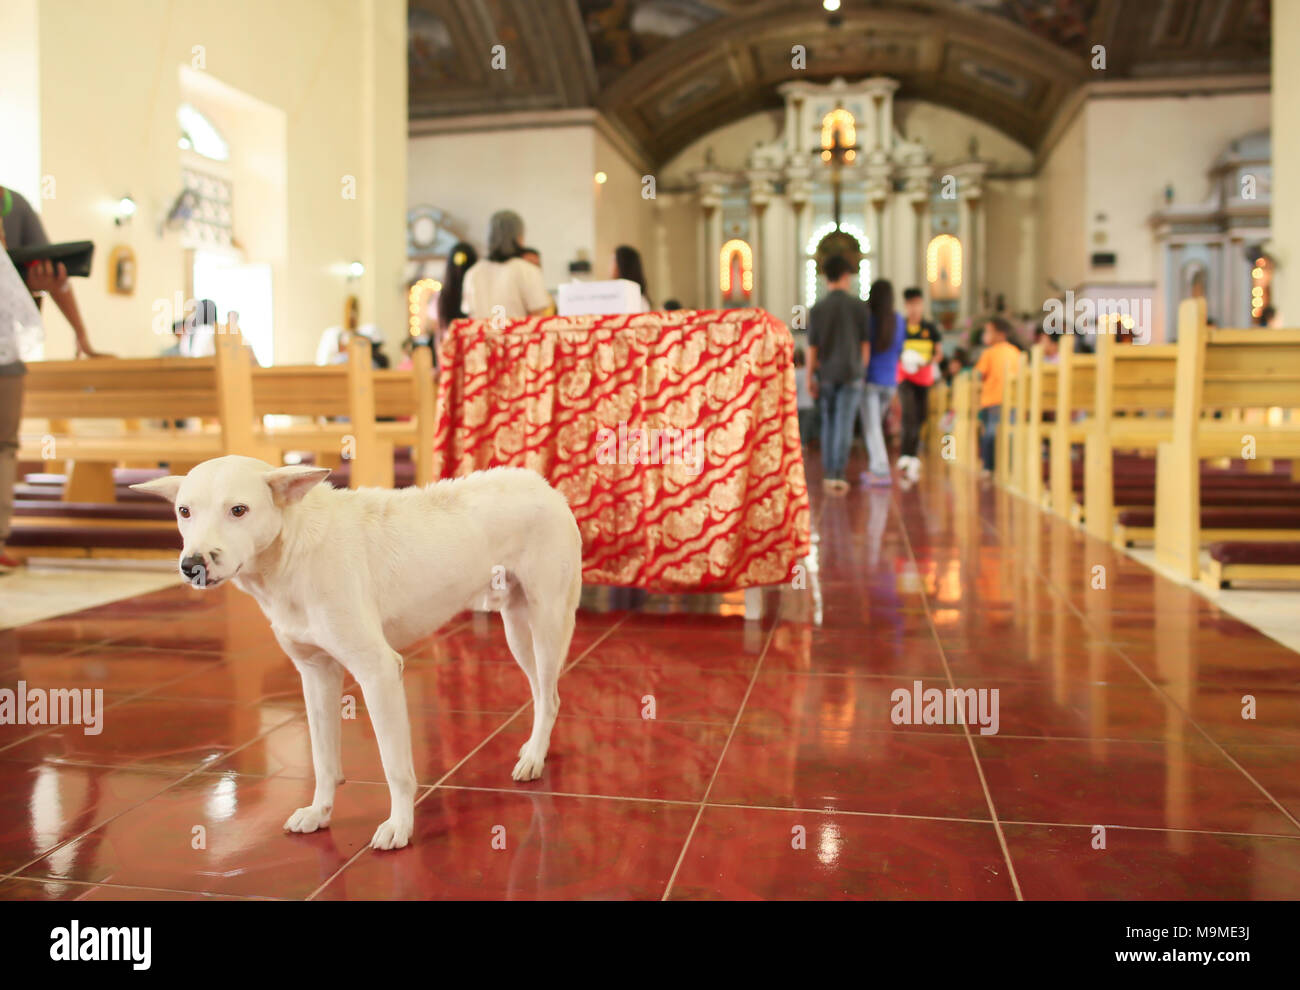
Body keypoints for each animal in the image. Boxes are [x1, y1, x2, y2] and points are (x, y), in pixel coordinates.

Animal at [131, 454, 579, 847]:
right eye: (184, 511)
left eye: (238, 510)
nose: (192, 565)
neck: (294, 552)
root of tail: (542, 484)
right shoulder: (316, 674)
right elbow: (324, 760)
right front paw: (319, 812)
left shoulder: (379, 672)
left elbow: (395, 766)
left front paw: (400, 826)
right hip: (517, 631)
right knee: (542, 694)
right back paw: (533, 749)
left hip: (546, 624)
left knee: (552, 696)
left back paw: (534, 758)